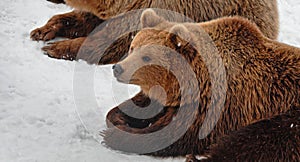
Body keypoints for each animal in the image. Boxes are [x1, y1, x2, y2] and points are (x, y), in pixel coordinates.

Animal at [103, 9, 300, 159]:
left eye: (147, 57)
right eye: (133, 47)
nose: (118, 68)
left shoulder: (220, 106)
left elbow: (176, 135)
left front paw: (117, 134)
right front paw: (118, 118)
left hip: (289, 118)